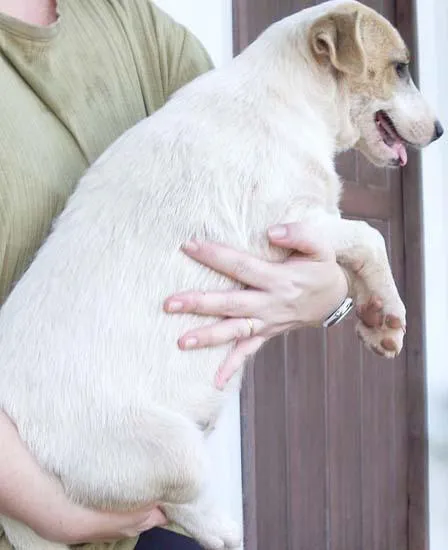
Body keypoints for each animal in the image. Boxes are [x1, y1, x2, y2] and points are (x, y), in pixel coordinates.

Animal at [0, 1, 443, 548]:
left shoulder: (316, 225)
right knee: (171, 501)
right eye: (401, 68)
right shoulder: (293, 221)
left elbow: (356, 254)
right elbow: (369, 237)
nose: (440, 131)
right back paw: (222, 529)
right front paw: (390, 313)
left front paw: (376, 319)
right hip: (172, 451)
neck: (289, 98)